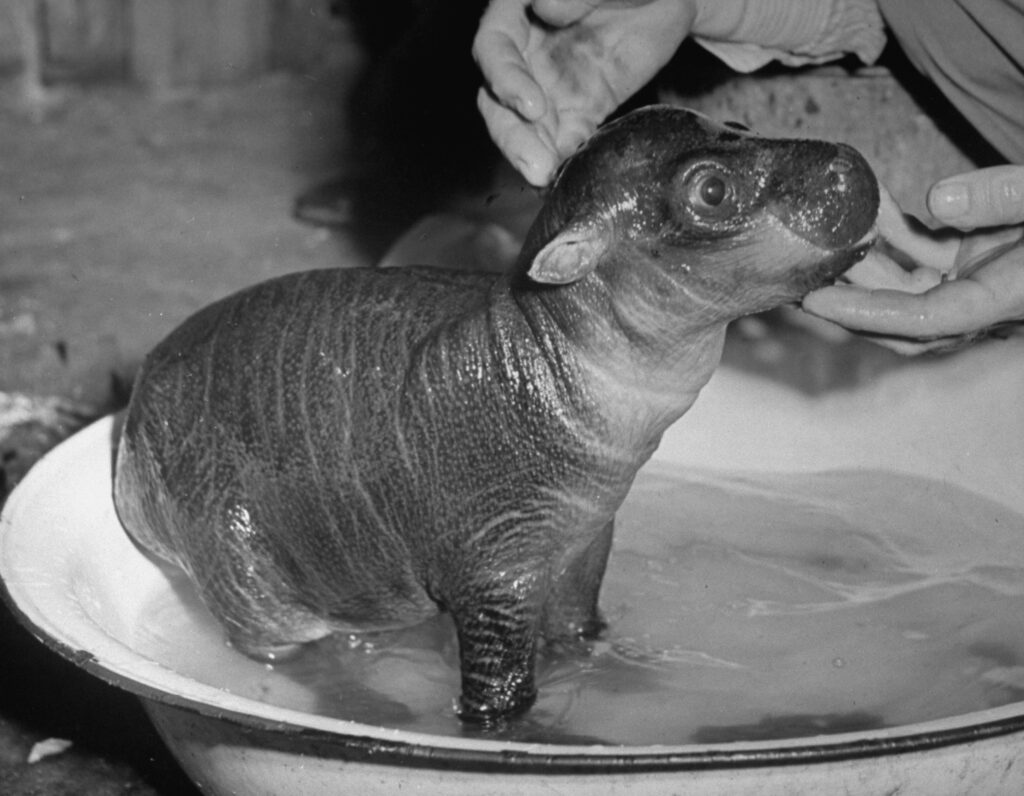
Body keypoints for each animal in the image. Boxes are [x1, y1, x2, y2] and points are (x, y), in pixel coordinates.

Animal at [113, 105, 879, 723]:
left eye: (739, 121)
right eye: (711, 190)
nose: (852, 161)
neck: (547, 339)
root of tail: (133, 410)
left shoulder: (584, 540)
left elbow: (581, 634)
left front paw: (633, 679)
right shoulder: (495, 572)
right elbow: (502, 693)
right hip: (241, 561)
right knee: (293, 652)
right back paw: (372, 708)